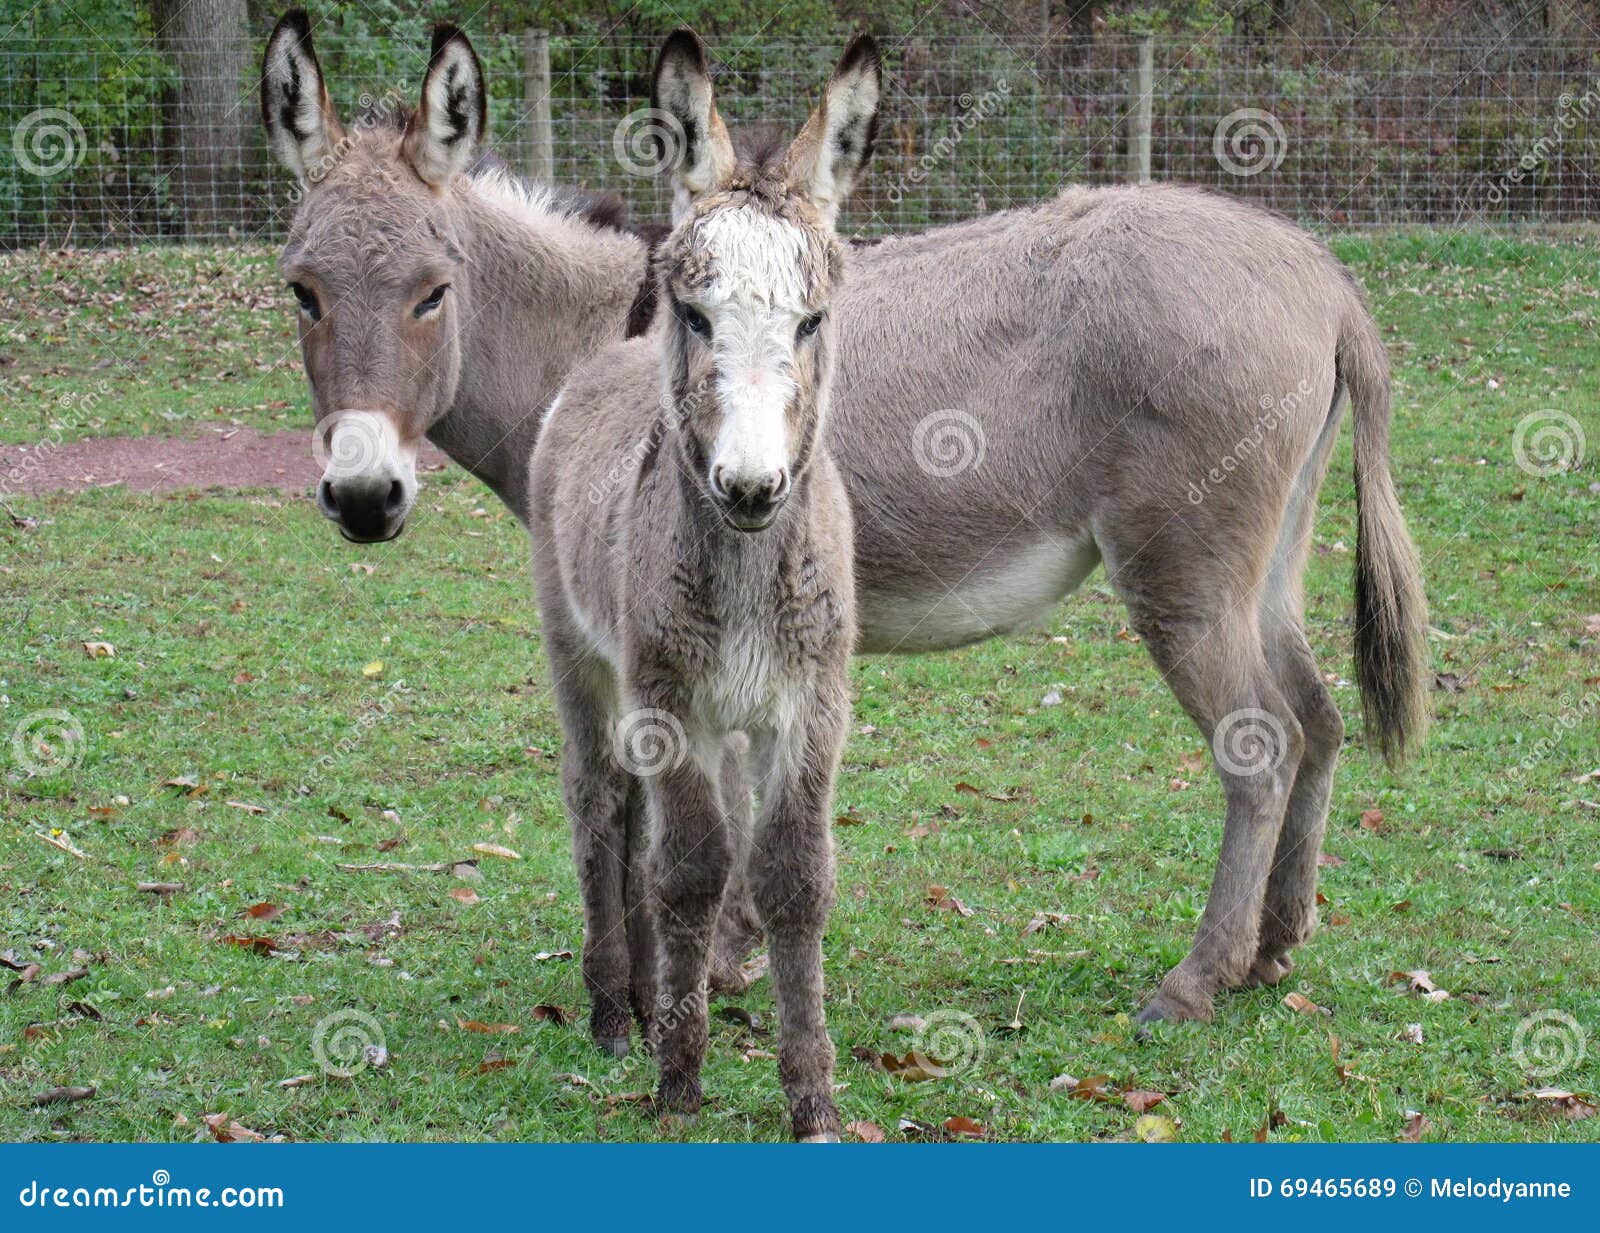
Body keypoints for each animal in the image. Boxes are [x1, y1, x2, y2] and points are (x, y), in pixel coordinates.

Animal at [531, 33, 883, 1145]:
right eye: (695, 315)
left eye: (812, 322)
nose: (750, 487)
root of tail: (607, 358)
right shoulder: (668, 694)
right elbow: (687, 865)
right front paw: (678, 1079)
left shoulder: (811, 701)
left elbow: (791, 876)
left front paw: (811, 1095)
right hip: (582, 653)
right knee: (601, 799)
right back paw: (616, 1007)